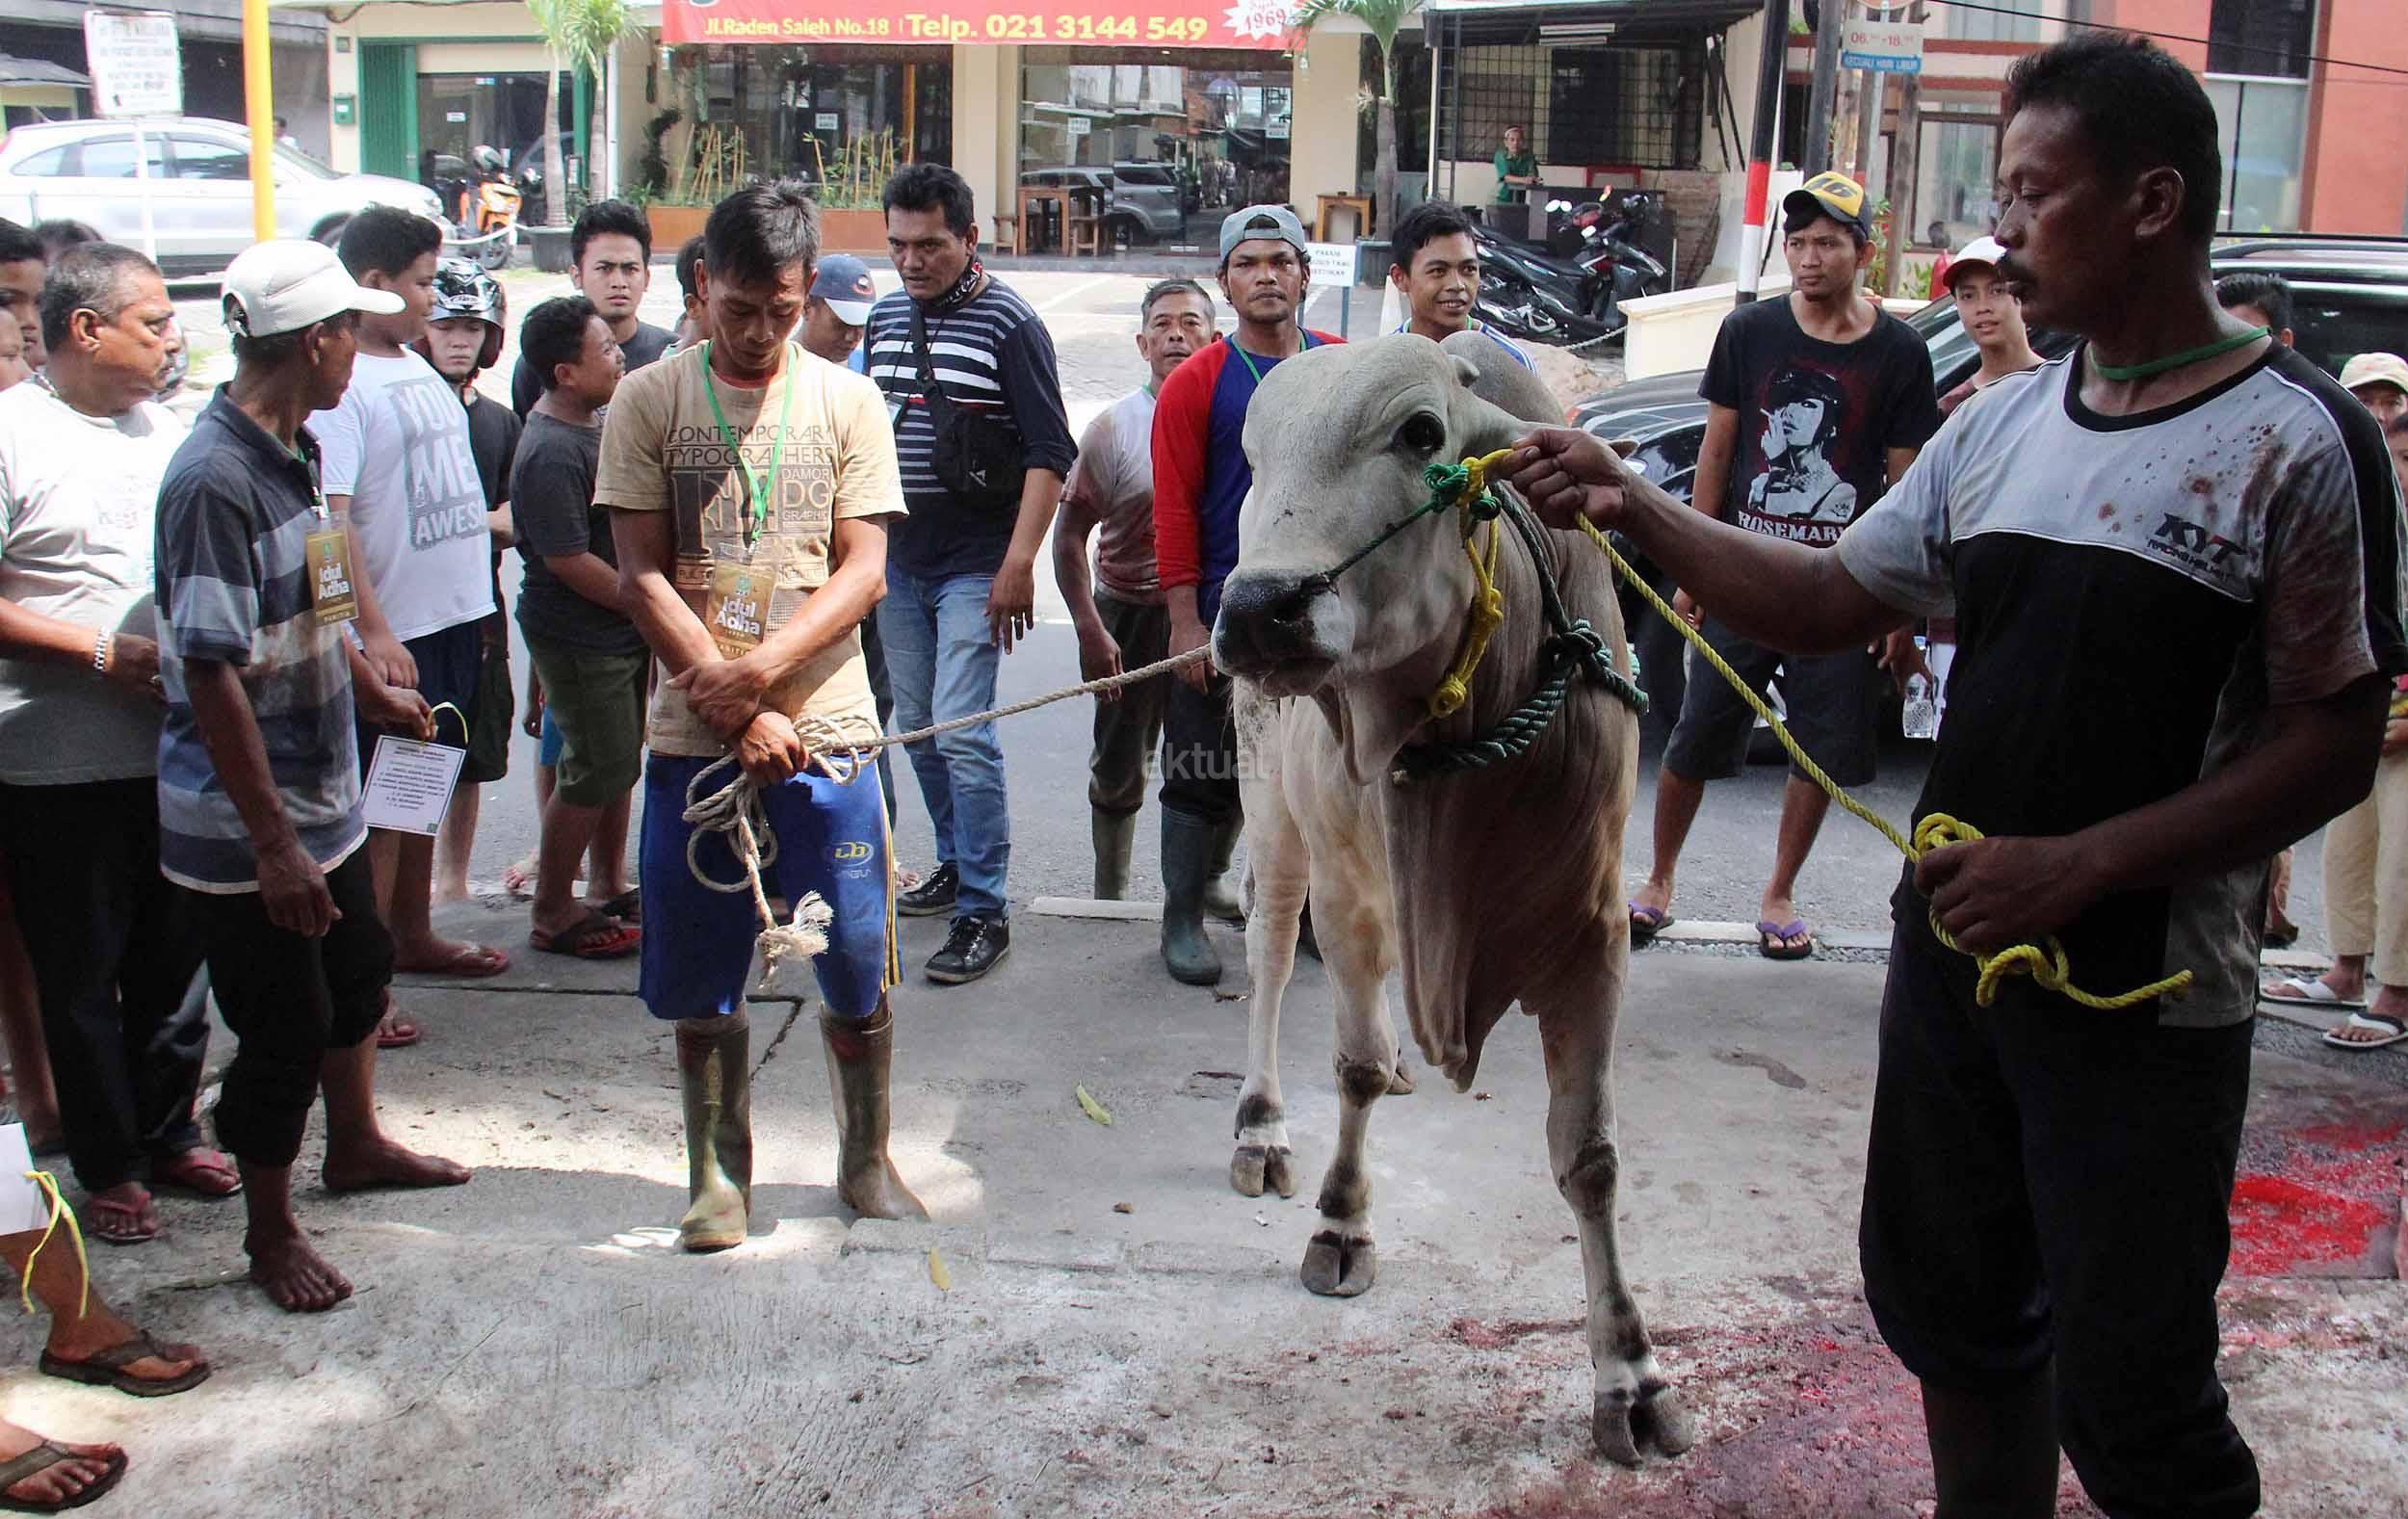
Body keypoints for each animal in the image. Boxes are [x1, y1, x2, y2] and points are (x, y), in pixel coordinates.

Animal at [1211, 332, 1691, 1465]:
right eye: (1254, 451)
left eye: (1421, 432)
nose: (1257, 609)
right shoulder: (1348, 896)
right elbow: (1345, 1065)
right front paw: (1341, 1222)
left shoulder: (1592, 936)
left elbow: (1590, 1158)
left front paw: (1630, 1373)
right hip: (1276, 812)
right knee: (1269, 956)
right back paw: (1261, 1125)